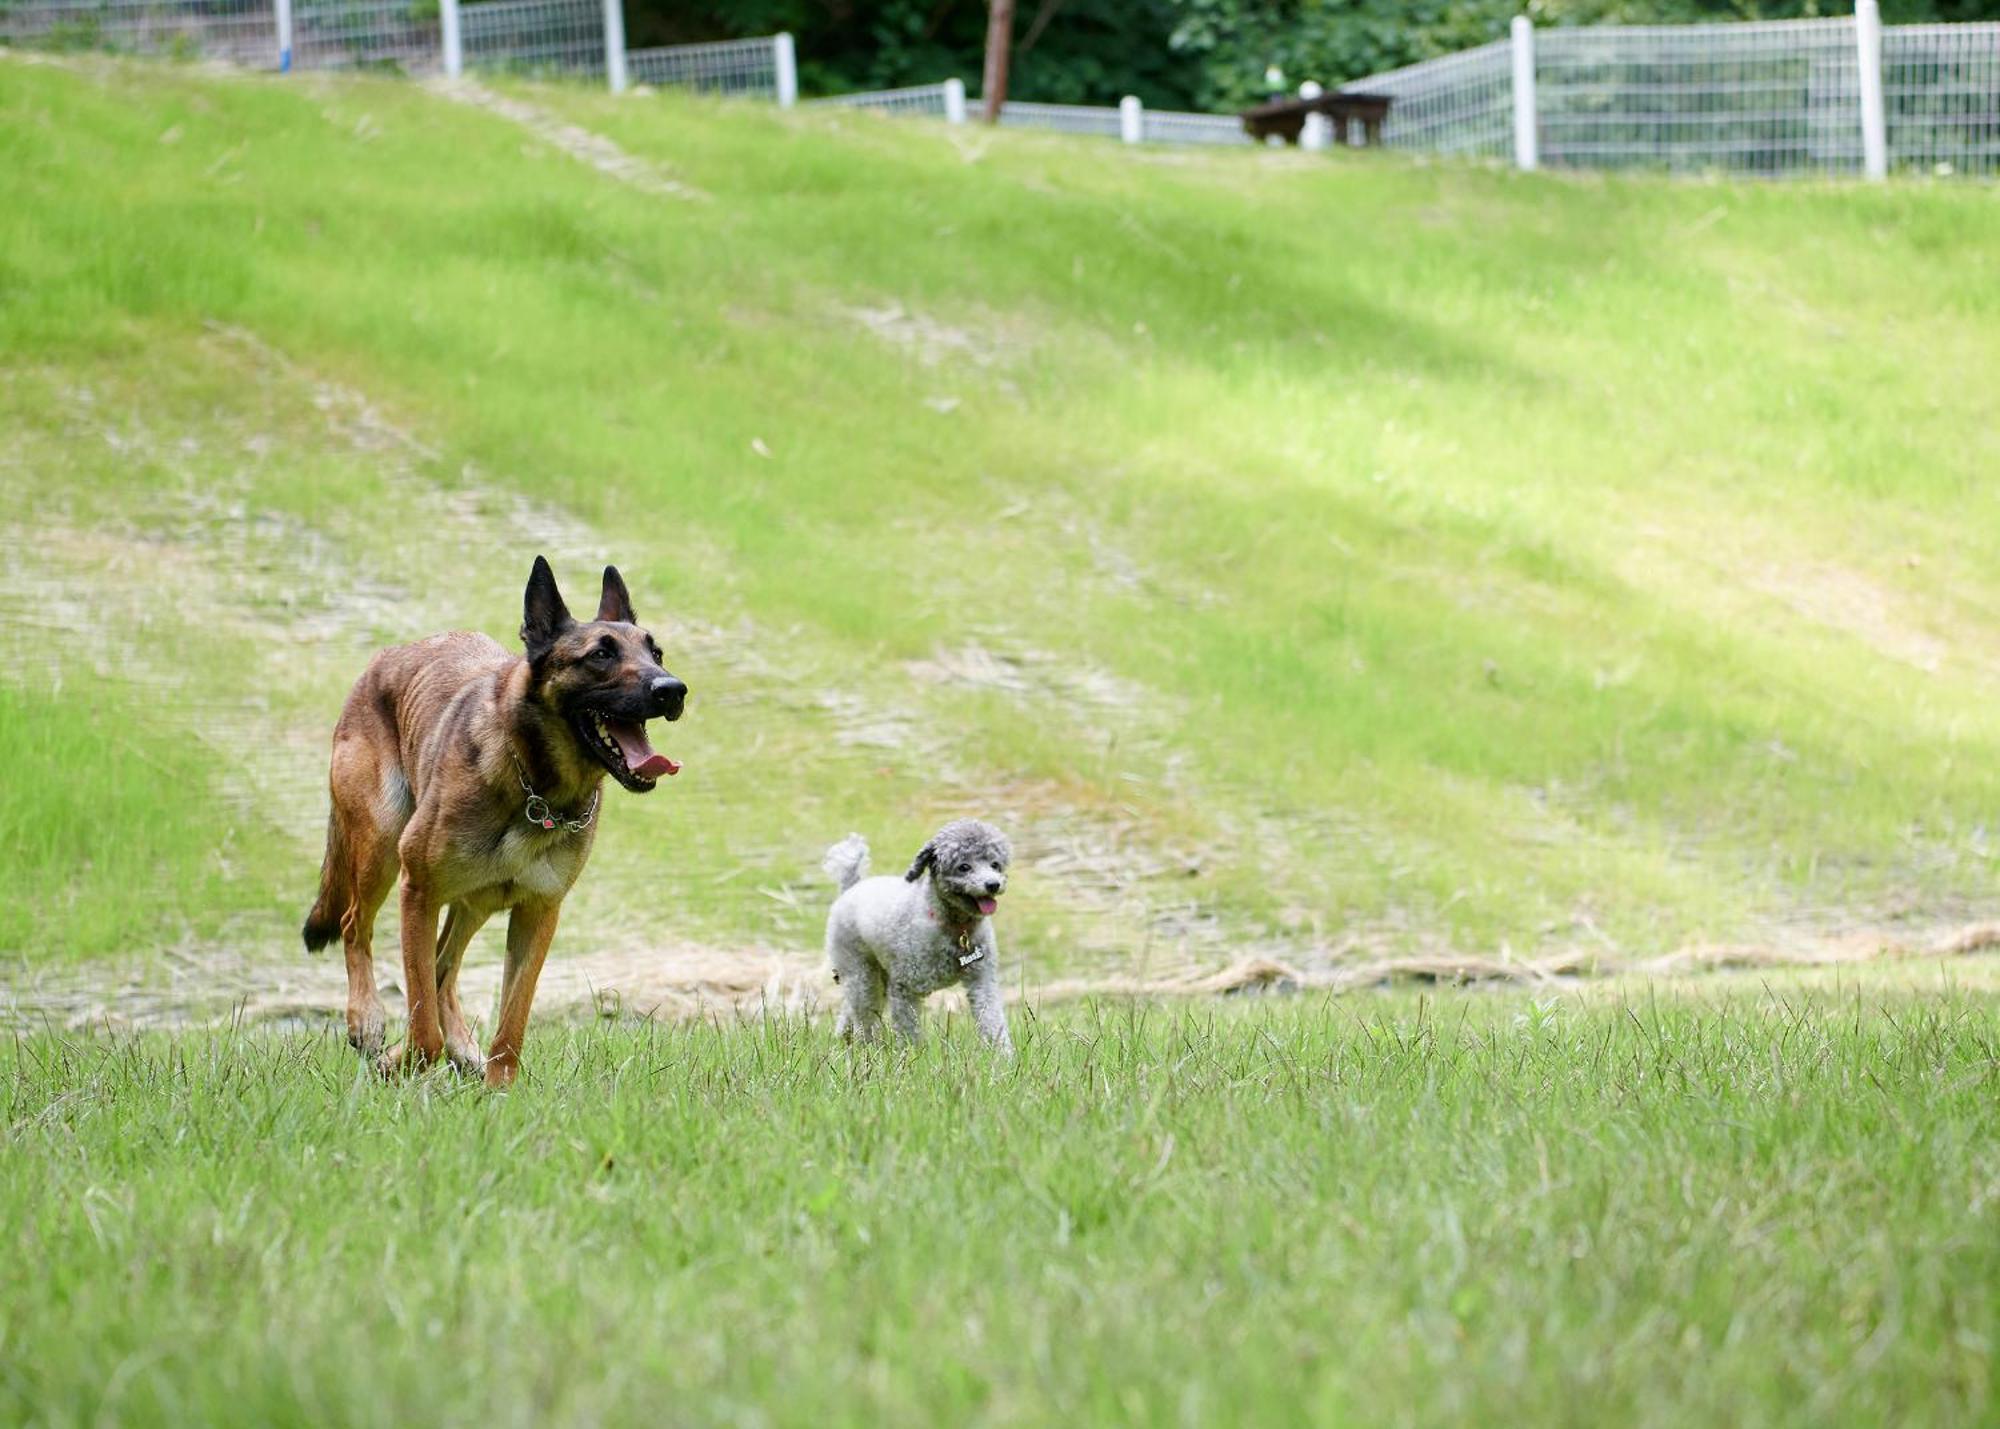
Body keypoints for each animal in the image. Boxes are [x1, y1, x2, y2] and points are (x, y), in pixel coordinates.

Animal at [302, 552, 688, 1080]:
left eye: (657, 654)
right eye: (600, 655)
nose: (674, 690)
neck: (536, 787)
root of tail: (388, 656)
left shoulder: (537, 914)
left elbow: (510, 1023)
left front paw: (496, 1086)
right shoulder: (417, 891)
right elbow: (422, 1026)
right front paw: (401, 1059)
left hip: (475, 901)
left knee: (443, 966)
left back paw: (460, 1046)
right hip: (380, 848)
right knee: (354, 924)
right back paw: (368, 1021)